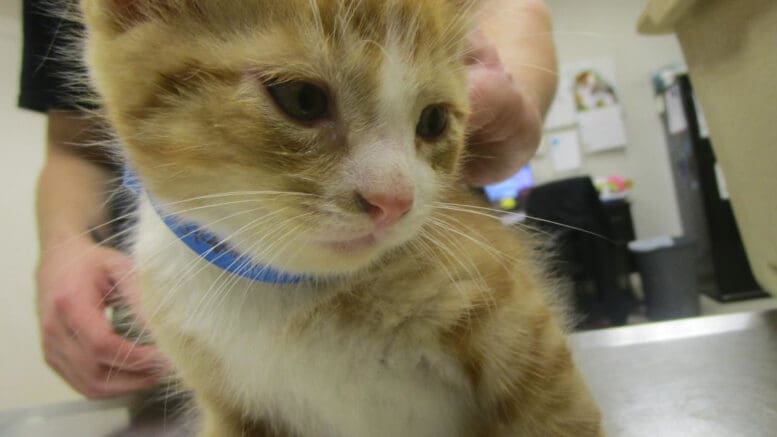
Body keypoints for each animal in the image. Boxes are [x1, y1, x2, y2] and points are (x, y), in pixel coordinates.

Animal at [79, 0, 600, 436]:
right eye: (301, 98)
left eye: (433, 121)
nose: (393, 200)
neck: (292, 293)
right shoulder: (228, 408)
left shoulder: (532, 353)